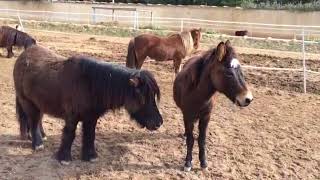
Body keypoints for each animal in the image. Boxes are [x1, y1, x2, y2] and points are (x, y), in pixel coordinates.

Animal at [13, 45, 162, 165]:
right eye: (143, 97)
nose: (159, 123)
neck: (90, 85)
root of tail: (23, 56)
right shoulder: (72, 118)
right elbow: (69, 134)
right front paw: (64, 158)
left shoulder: (91, 118)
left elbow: (90, 135)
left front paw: (90, 156)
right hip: (27, 102)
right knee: (33, 121)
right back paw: (37, 144)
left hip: (39, 103)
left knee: (38, 120)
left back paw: (41, 136)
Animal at [174, 40, 254, 172]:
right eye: (229, 73)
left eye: (240, 71)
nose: (248, 99)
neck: (197, 95)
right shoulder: (188, 116)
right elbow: (191, 140)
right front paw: (188, 163)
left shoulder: (206, 117)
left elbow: (201, 140)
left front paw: (203, 163)